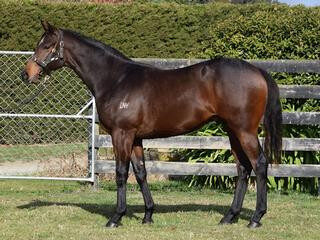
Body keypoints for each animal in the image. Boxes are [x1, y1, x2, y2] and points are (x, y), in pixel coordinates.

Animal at [20, 21, 282, 229]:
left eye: (46, 45)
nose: (26, 74)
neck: (115, 79)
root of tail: (257, 70)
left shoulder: (121, 134)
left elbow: (121, 173)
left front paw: (116, 217)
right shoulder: (135, 137)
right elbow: (141, 173)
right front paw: (148, 215)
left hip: (244, 131)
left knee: (259, 164)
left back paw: (256, 218)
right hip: (232, 131)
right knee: (242, 168)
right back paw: (229, 217)